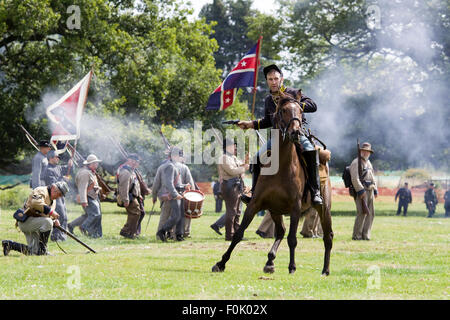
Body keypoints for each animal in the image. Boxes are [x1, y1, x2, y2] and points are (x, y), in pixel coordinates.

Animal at [212, 92, 334, 276]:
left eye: (300, 110)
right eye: (283, 110)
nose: (295, 132)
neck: (282, 166)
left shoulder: (295, 207)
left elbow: (292, 239)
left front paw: (292, 267)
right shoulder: (255, 204)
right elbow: (238, 233)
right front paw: (221, 263)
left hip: (323, 209)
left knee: (327, 237)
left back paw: (325, 269)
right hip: (275, 210)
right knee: (281, 231)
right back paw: (270, 261)